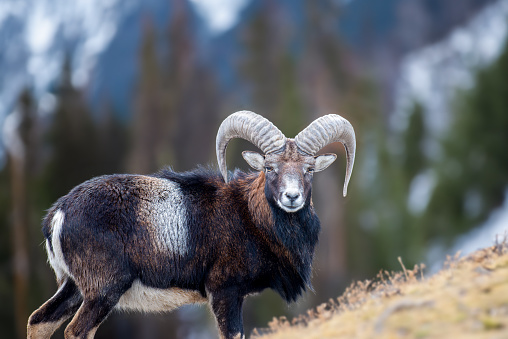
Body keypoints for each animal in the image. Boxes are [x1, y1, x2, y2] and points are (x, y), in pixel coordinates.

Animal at [26, 111, 354, 339]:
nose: (292, 197)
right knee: (76, 331)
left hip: (72, 288)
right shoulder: (224, 292)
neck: (251, 219)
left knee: (39, 321)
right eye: (269, 168)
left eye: (309, 169)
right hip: (102, 292)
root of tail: (58, 214)